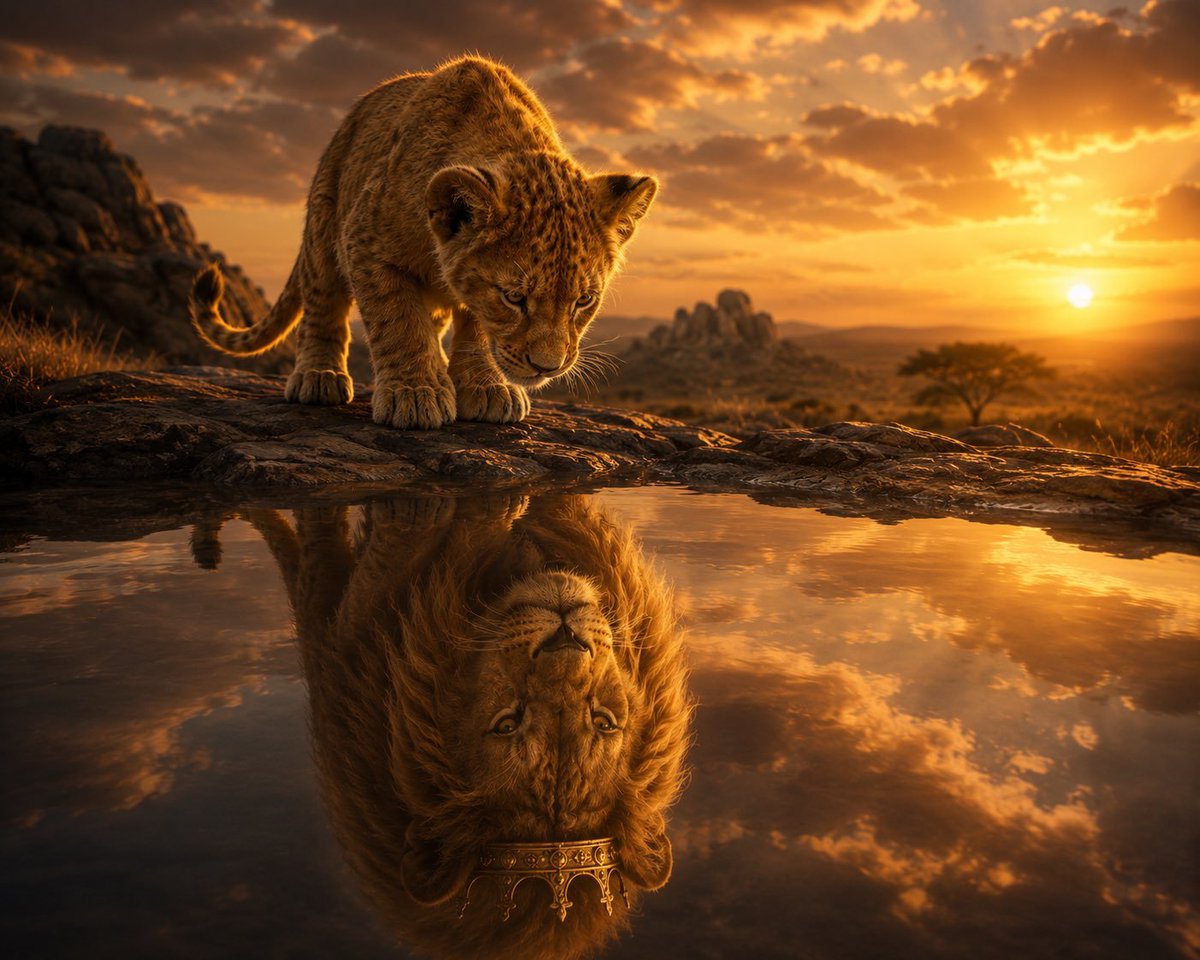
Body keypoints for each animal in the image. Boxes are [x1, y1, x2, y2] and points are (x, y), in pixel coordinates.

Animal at [189, 56, 658, 430]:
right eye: (514, 298)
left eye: (584, 301)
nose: (548, 366)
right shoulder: (365, 243)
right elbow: (398, 322)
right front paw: (414, 395)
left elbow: (471, 326)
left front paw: (484, 386)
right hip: (324, 224)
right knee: (324, 303)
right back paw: (319, 377)